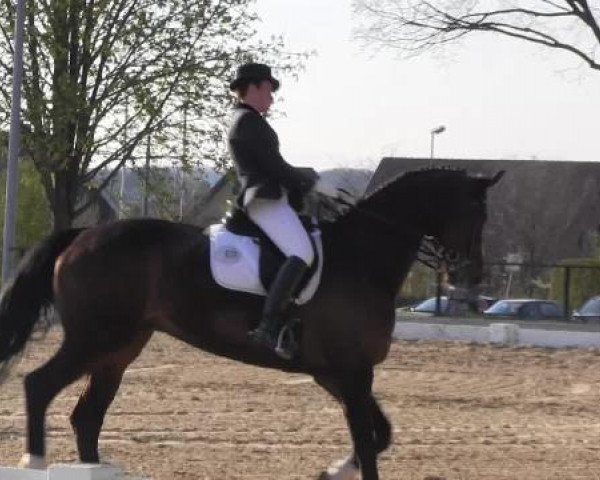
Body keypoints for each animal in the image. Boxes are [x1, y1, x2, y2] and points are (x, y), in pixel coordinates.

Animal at [0, 167, 502, 478]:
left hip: (119, 349)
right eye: (478, 212)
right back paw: (35, 462)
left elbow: (379, 436)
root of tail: (82, 236)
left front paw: (329, 472)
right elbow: (369, 442)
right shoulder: (352, 371)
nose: (472, 276)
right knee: (39, 385)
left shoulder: (336, 374)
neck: (362, 259)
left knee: (87, 417)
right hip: (94, 338)